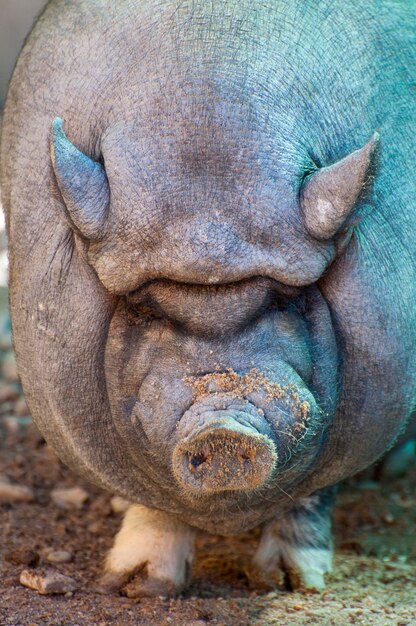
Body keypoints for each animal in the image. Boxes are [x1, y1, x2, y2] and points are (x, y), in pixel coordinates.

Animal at [0, 0, 416, 596]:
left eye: (286, 299)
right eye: (147, 308)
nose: (223, 428)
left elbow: (313, 497)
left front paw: (289, 583)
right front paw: (136, 586)